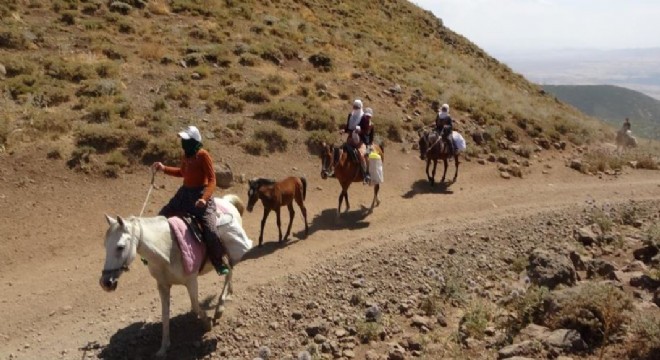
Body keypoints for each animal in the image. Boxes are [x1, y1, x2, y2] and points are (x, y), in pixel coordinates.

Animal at [96, 194, 244, 358]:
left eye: (120, 247)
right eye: (105, 245)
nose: (105, 283)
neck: (167, 249)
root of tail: (226, 201)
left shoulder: (191, 281)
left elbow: (195, 307)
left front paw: (207, 324)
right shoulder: (163, 285)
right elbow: (165, 315)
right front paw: (163, 348)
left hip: (227, 253)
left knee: (229, 272)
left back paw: (220, 308)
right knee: (230, 273)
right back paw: (228, 295)